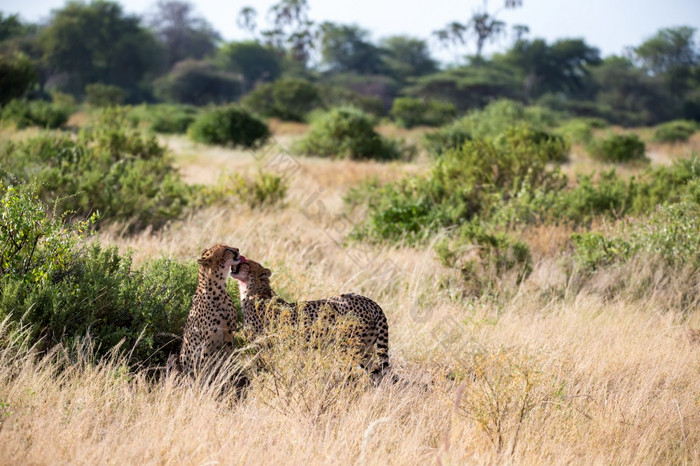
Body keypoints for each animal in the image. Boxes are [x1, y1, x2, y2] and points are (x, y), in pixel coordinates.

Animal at [176, 244, 245, 374]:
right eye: (227, 249)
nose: (238, 249)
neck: (219, 291)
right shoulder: (207, 342)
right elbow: (206, 365)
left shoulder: (229, 334)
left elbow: (227, 360)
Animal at [231, 258, 392, 374]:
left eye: (246, 263)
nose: (236, 261)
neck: (253, 290)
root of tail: (371, 301)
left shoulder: (262, 344)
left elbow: (261, 365)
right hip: (366, 349)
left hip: (350, 348)